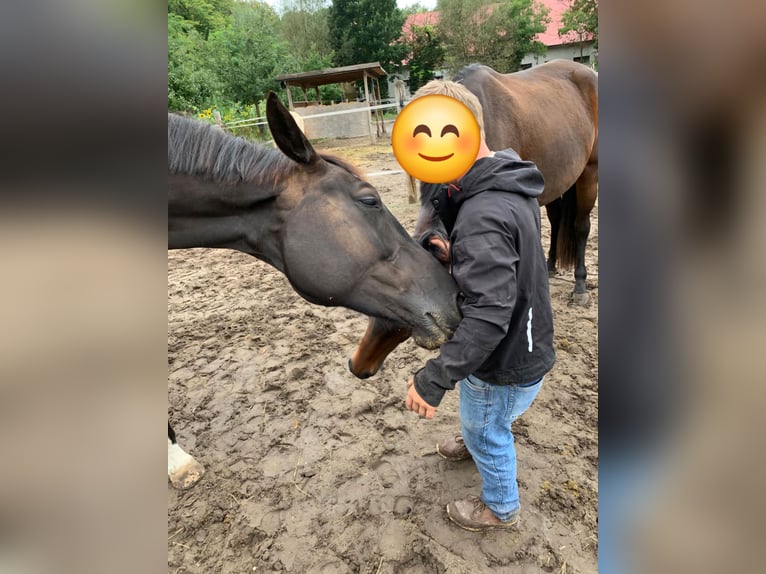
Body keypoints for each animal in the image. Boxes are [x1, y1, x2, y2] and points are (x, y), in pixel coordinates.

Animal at [349, 60, 598, 379]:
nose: (358, 365)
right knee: (556, 222)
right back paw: (552, 265)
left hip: (588, 174)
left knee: (580, 228)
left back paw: (580, 287)